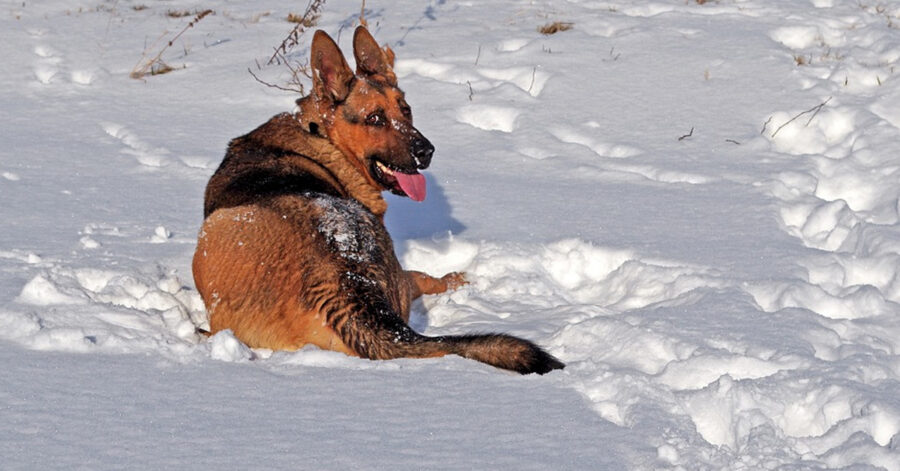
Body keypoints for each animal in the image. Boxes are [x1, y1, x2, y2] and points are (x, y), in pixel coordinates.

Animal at [192, 26, 564, 376]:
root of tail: (346, 285)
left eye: (406, 110)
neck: (323, 137)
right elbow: (421, 276)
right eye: (374, 118)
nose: (426, 152)